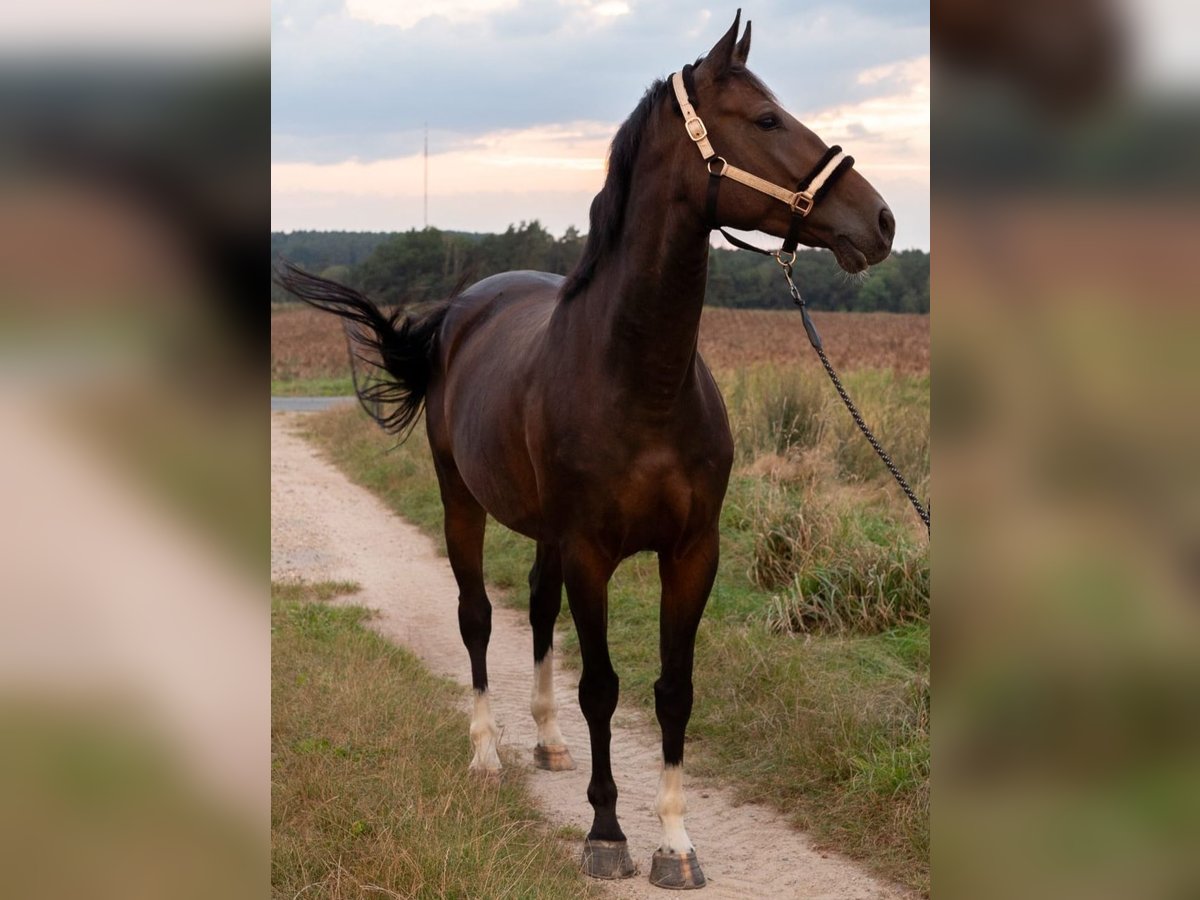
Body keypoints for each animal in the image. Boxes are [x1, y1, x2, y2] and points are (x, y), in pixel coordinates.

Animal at [278, 10, 892, 892]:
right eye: (767, 119)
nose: (881, 221)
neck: (640, 380)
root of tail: (464, 307)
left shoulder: (691, 552)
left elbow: (673, 690)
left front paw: (675, 842)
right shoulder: (591, 553)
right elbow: (601, 686)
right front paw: (607, 834)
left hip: (544, 534)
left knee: (536, 610)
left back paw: (546, 741)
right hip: (462, 502)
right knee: (477, 618)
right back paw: (487, 753)